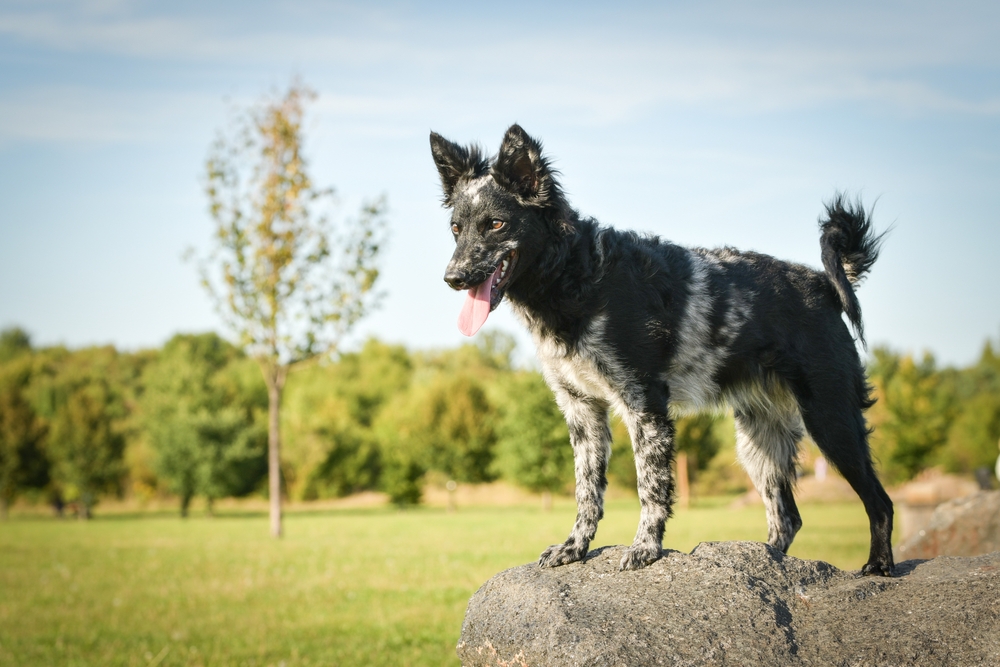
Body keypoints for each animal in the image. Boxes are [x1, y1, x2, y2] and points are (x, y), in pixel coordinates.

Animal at [432, 126, 900, 580]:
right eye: (456, 228)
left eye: (495, 223)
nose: (452, 278)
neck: (579, 276)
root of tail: (821, 283)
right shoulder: (582, 410)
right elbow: (587, 492)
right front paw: (575, 547)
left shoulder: (644, 406)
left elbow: (651, 487)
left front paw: (645, 549)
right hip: (758, 444)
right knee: (787, 519)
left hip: (832, 420)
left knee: (880, 501)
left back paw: (878, 565)